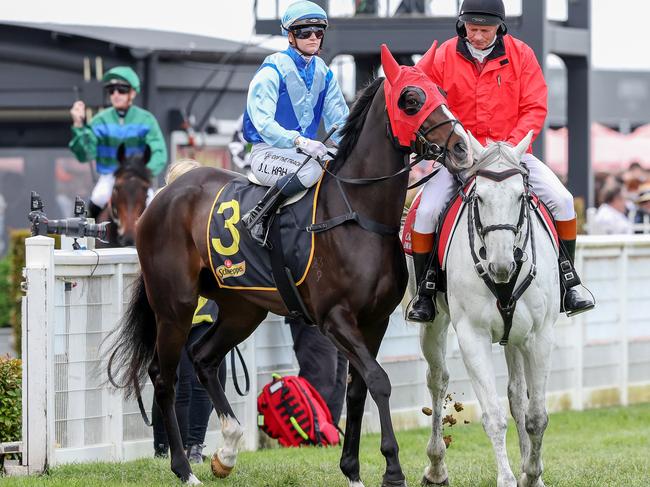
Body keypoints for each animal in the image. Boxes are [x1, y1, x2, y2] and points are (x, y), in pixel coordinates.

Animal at [109, 43, 468, 487]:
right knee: (164, 375)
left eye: (443, 93)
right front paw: (392, 468)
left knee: (204, 357)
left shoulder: (374, 321)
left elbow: (358, 387)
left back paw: (227, 449)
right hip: (175, 305)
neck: (357, 213)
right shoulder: (334, 318)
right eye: (411, 100)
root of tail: (163, 195)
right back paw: (184, 468)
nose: (462, 147)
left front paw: (353, 470)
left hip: (242, 308)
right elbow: (379, 381)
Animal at [416, 132, 556, 487]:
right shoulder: (472, 336)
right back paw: (436, 466)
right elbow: (493, 415)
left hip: (516, 338)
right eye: (479, 198)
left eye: (521, 197)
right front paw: (508, 478)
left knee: (517, 396)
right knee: (437, 380)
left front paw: (532, 474)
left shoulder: (539, 337)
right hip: (434, 324)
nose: (501, 265)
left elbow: (536, 415)